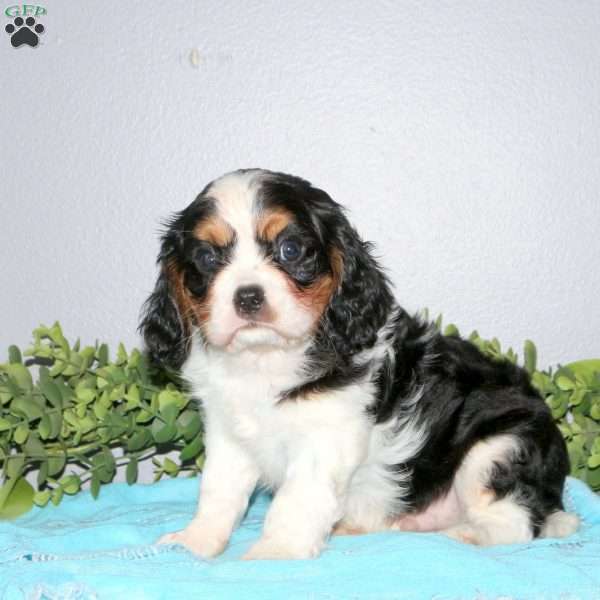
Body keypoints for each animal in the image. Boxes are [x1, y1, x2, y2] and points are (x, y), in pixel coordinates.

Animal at [139, 168, 576, 556]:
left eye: (290, 250)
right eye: (207, 258)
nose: (248, 296)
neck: (266, 359)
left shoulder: (325, 437)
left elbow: (296, 501)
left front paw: (273, 555)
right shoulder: (229, 435)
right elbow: (218, 492)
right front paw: (195, 543)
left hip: (499, 447)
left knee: (516, 523)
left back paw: (464, 535)